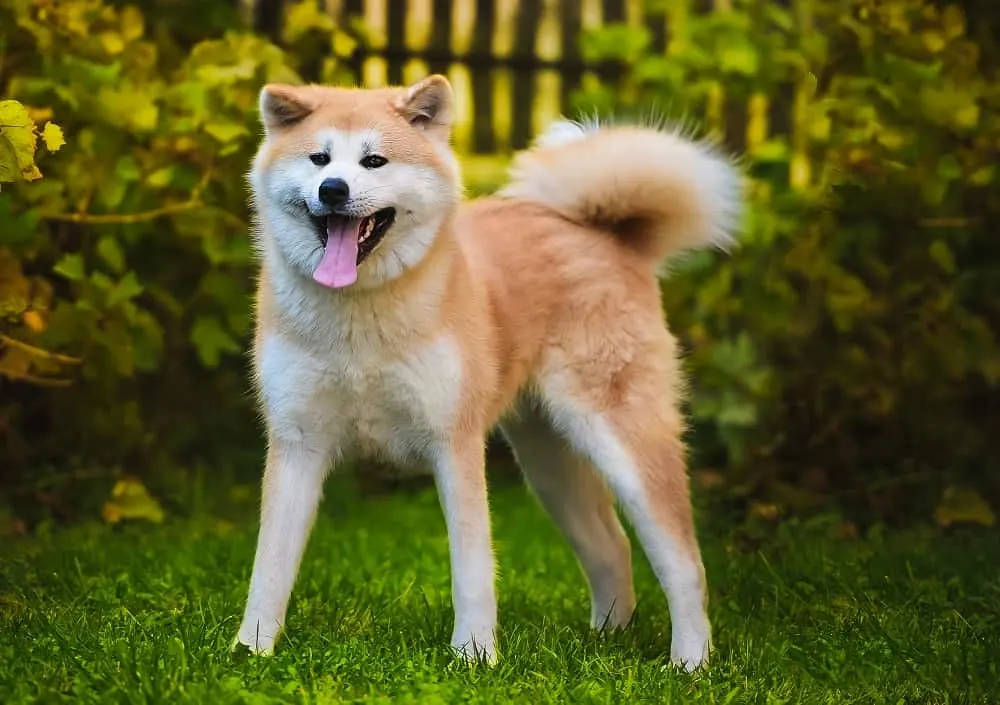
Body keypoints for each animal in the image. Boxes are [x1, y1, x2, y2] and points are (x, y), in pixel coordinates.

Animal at [234, 73, 744, 672]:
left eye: (374, 161)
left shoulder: (453, 445)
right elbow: (269, 568)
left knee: (684, 562)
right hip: (549, 464)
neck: (359, 317)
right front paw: (250, 650)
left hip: (622, 441)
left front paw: (474, 656)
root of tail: (607, 235)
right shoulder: (297, 444)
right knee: (612, 545)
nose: (333, 189)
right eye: (318, 158)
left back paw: (689, 663)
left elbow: (472, 570)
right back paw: (605, 640)